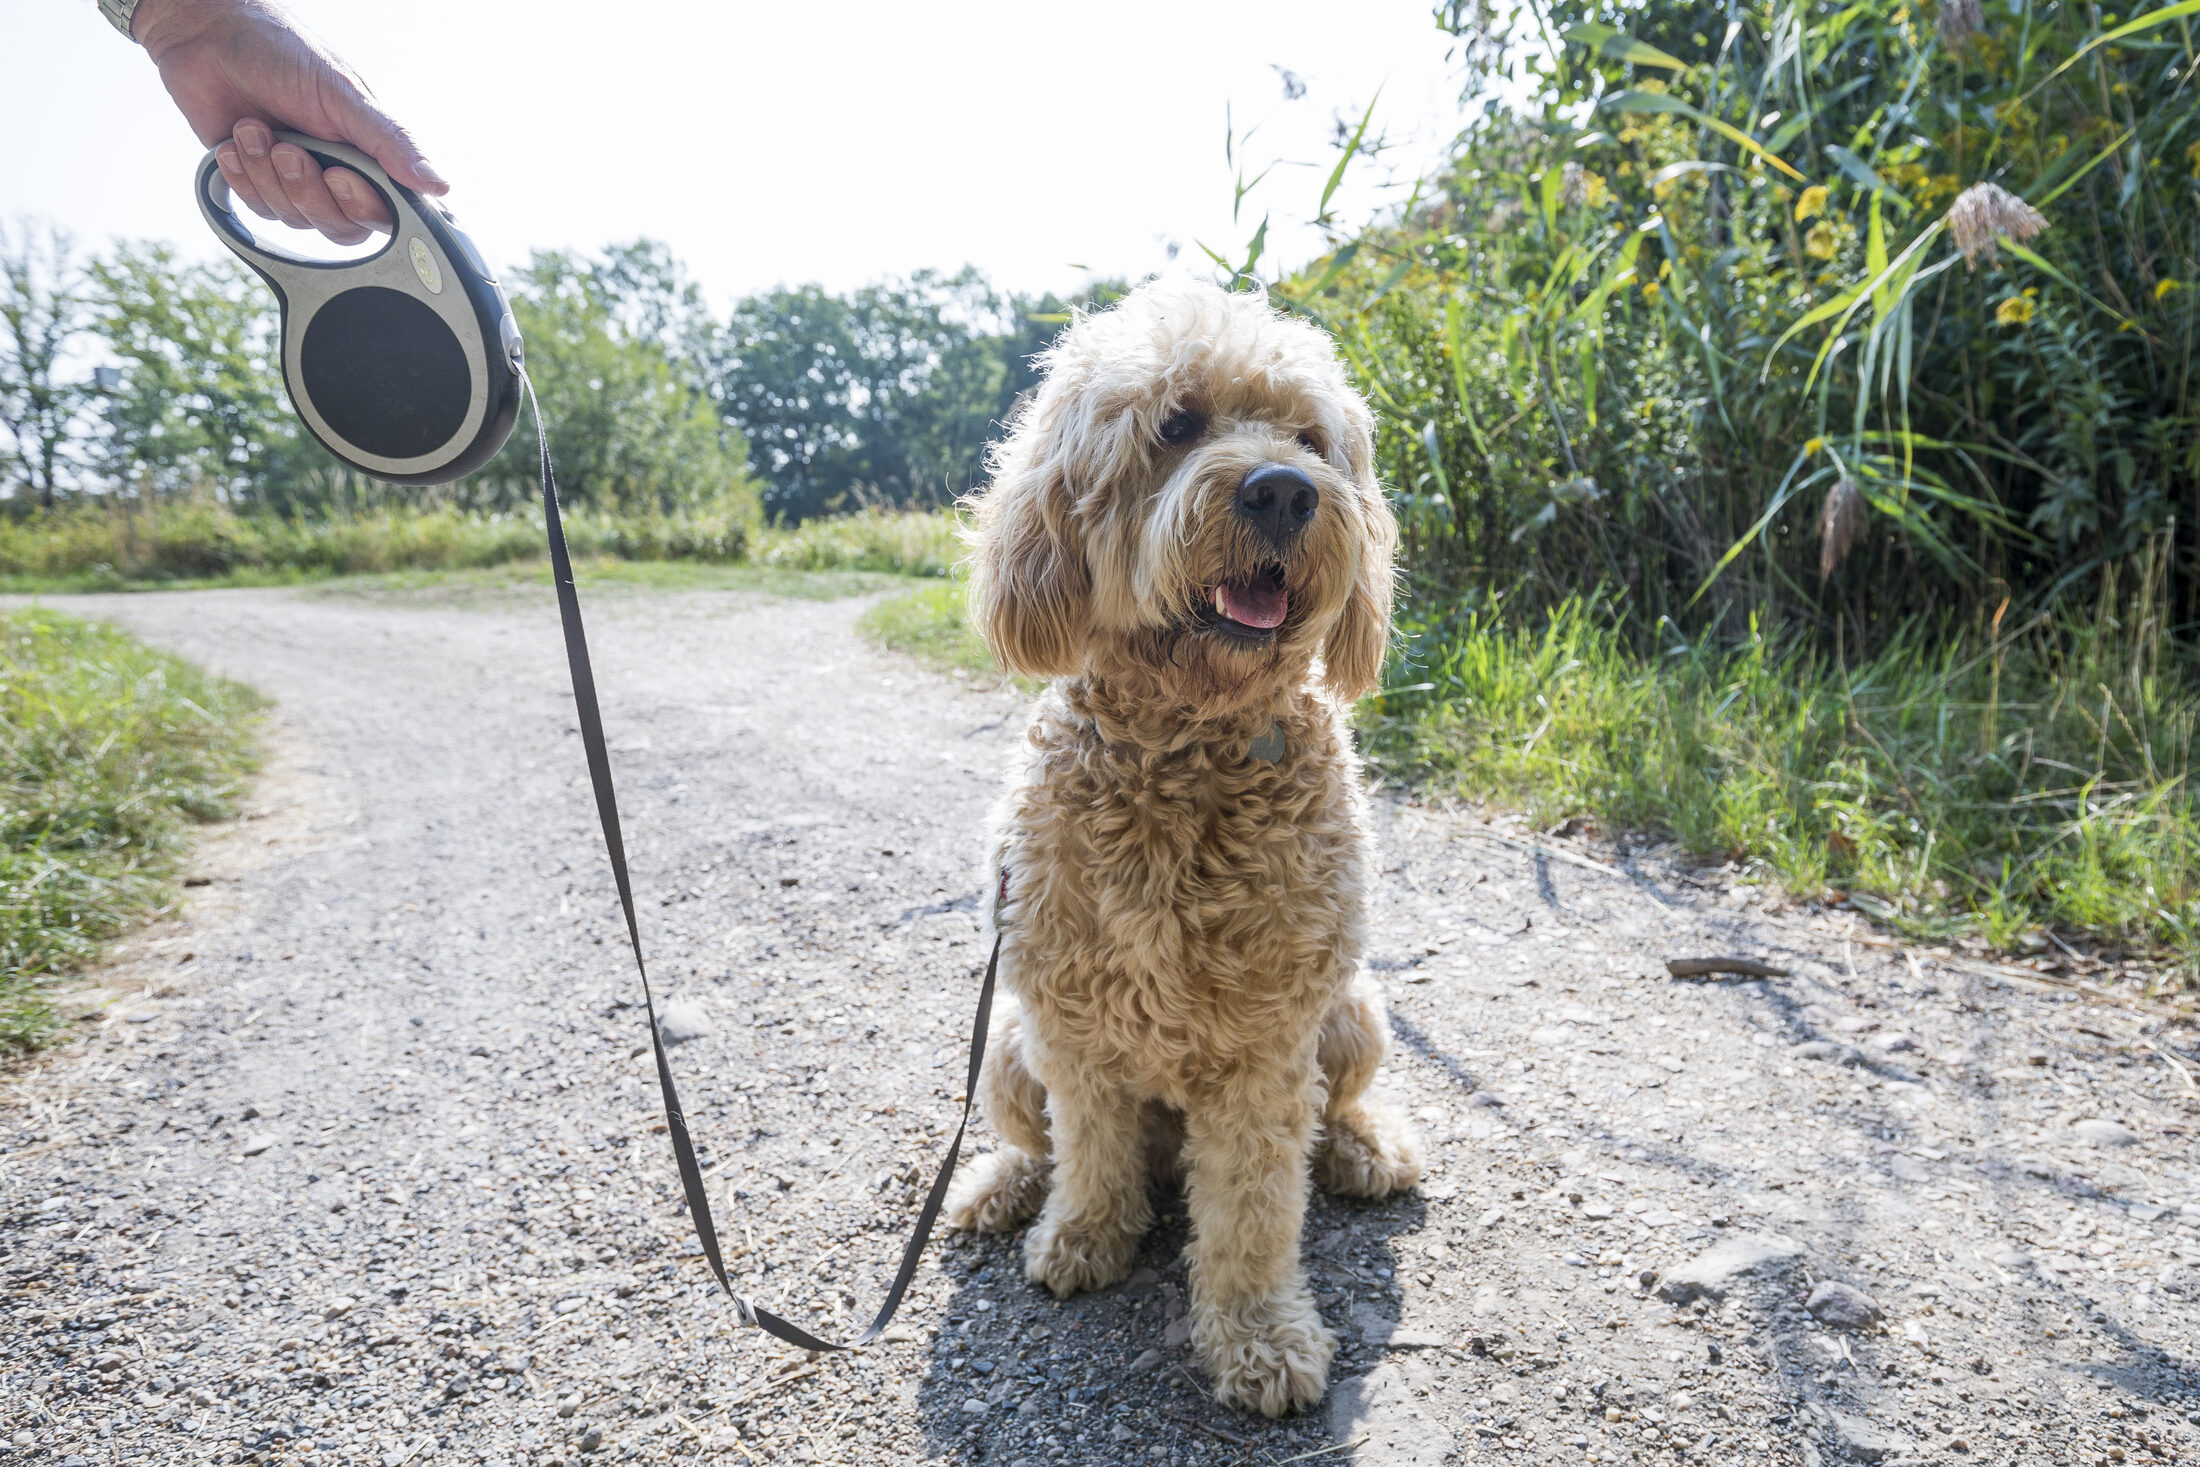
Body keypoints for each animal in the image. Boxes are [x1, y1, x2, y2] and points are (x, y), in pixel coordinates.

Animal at [950, 278, 1425, 1425]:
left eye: (1310, 440)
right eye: (1175, 425)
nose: (1283, 492)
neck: (1187, 748)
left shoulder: (1265, 1045)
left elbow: (1254, 1207)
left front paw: (1258, 1336)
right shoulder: (1072, 1024)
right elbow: (1090, 1152)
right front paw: (1082, 1236)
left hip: (1355, 1014)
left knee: (1334, 1110)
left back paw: (1363, 1146)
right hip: (1007, 1049)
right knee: (1037, 1139)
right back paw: (1003, 1186)